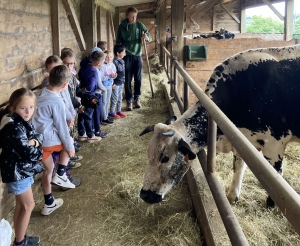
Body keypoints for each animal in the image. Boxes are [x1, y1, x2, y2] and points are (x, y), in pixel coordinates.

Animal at [139, 45, 300, 207]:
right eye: (147, 153)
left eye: (164, 158)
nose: (145, 195)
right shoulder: (242, 142)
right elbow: (238, 167)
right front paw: (232, 196)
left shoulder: (274, 144)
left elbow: (277, 179)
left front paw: (271, 204)